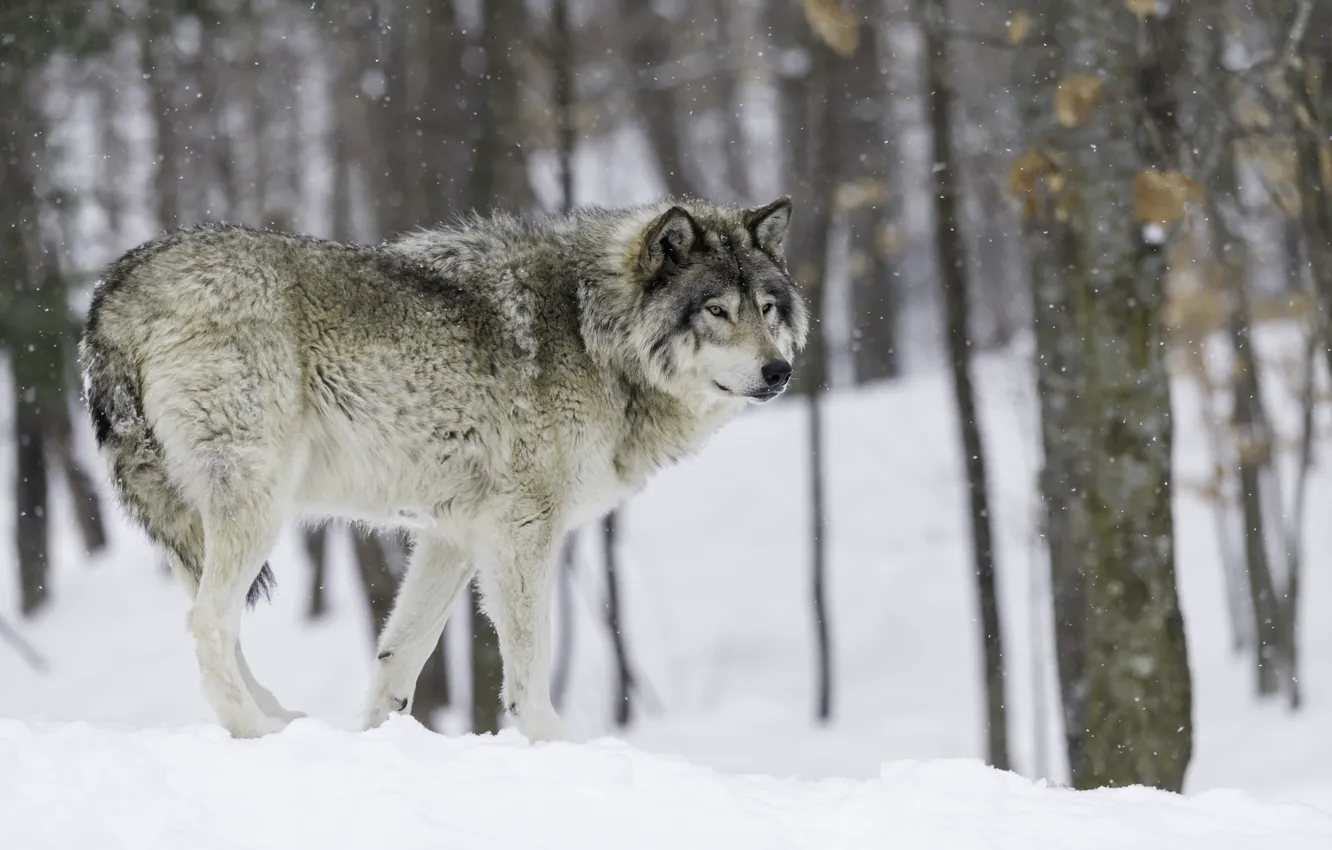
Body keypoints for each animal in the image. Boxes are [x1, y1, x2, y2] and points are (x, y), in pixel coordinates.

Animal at [78, 197, 808, 741]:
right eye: (716, 311)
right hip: (257, 506)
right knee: (208, 623)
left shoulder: (452, 537)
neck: (593, 331)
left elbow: (400, 658)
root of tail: (117, 284)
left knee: (218, 625)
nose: (779, 371)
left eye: (768, 309)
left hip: (198, 523)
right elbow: (529, 659)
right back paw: (254, 729)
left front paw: (379, 740)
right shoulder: (523, 531)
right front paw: (553, 744)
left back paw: (280, 718)